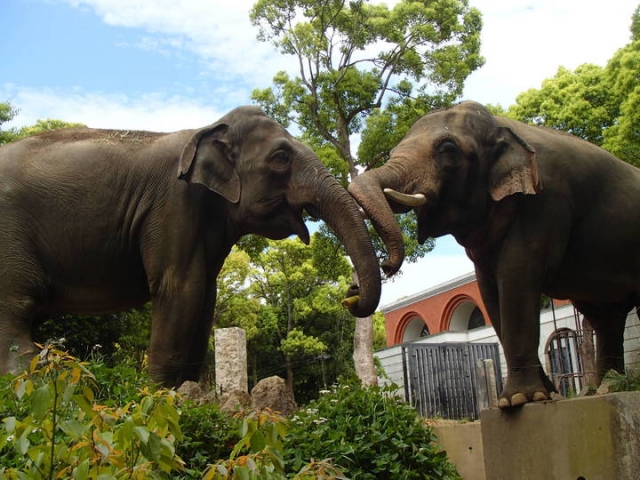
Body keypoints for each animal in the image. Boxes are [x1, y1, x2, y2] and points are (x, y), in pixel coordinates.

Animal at [0, 105, 380, 386]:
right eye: (281, 158)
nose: (350, 294)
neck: (207, 128)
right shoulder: (173, 204)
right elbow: (181, 289)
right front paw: (158, 399)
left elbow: (205, 297)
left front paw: (188, 394)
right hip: (9, 236)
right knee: (15, 317)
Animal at [350, 101, 640, 408]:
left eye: (448, 149)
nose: (386, 265)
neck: (500, 124)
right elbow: (489, 289)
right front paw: (540, 395)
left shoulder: (545, 200)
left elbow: (515, 274)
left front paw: (521, 399)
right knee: (605, 316)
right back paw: (603, 388)